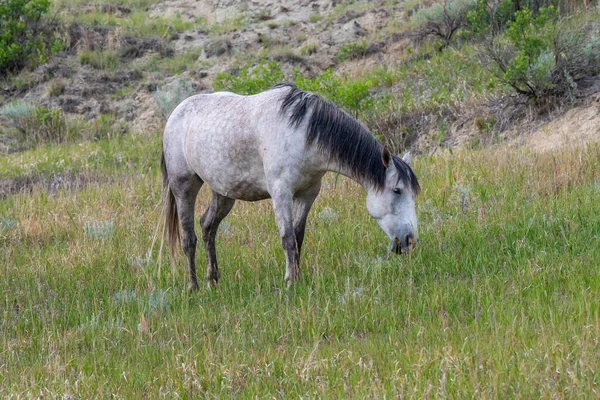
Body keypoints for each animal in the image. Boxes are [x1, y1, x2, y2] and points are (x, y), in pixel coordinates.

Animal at [162, 83, 420, 290]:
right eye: (397, 190)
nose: (409, 240)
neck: (302, 134)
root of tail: (175, 114)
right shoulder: (281, 194)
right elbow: (286, 237)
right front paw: (289, 281)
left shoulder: (307, 194)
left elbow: (298, 236)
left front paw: (298, 276)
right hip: (184, 187)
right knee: (188, 238)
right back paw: (193, 287)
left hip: (223, 193)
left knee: (207, 227)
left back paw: (213, 280)